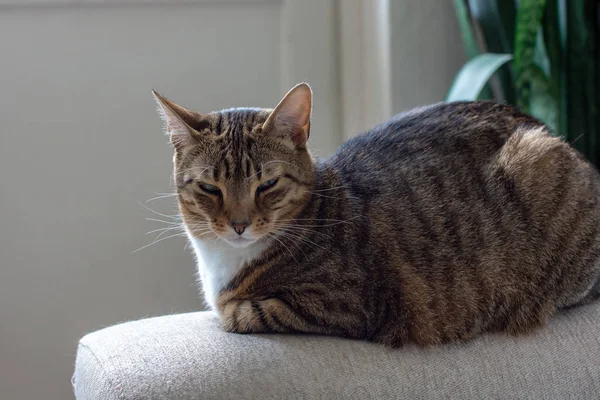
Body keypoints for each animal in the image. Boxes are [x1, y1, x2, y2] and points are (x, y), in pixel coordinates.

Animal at [152, 83, 600, 346]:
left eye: (267, 185)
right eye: (210, 188)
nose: (239, 224)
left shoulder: (346, 304)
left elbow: (238, 313)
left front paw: (229, 308)